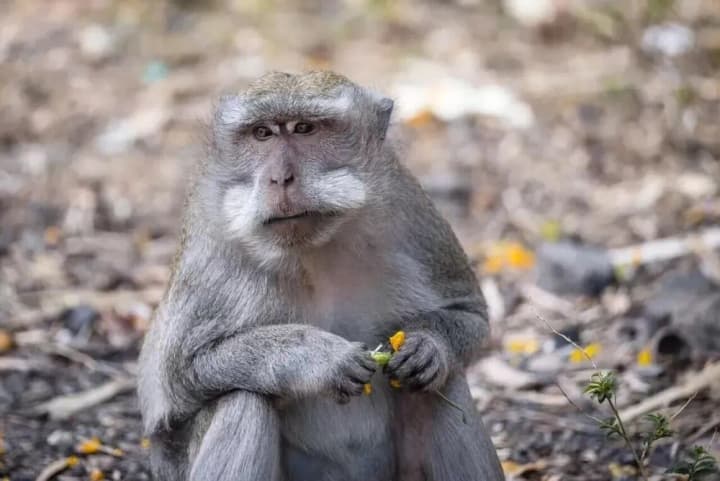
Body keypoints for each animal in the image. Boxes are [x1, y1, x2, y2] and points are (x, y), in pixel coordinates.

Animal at [137, 70, 505, 481]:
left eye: (304, 128)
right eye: (262, 133)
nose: (280, 178)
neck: (311, 250)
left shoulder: (410, 210)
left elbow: (470, 313)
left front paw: (428, 345)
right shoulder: (209, 245)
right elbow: (178, 375)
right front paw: (315, 357)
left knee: (439, 385)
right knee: (244, 400)